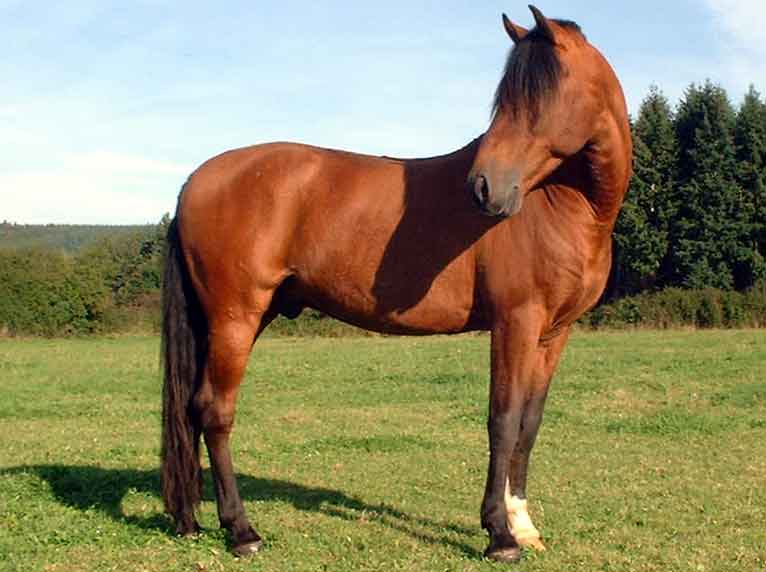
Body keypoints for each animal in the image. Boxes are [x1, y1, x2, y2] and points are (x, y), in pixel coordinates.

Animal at [160, 6, 631, 563]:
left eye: (540, 97)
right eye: (506, 99)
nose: (483, 188)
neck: (563, 206)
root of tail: (195, 181)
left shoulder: (553, 333)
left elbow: (529, 425)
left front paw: (523, 525)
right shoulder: (514, 323)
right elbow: (502, 419)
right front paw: (498, 535)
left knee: (193, 409)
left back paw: (190, 520)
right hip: (236, 317)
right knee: (215, 410)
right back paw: (242, 530)